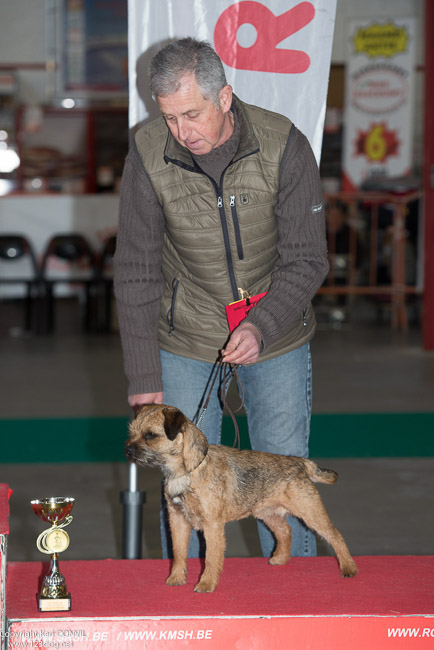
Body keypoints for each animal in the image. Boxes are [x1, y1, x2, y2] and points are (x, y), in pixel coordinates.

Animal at [124, 404, 356, 592]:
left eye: (150, 435)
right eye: (131, 432)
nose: (127, 449)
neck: (187, 472)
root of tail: (300, 463)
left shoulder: (212, 525)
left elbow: (211, 557)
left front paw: (206, 584)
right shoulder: (177, 520)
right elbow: (179, 552)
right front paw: (176, 577)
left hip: (311, 512)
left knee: (335, 535)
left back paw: (348, 567)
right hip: (267, 513)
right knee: (285, 531)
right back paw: (280, 558)